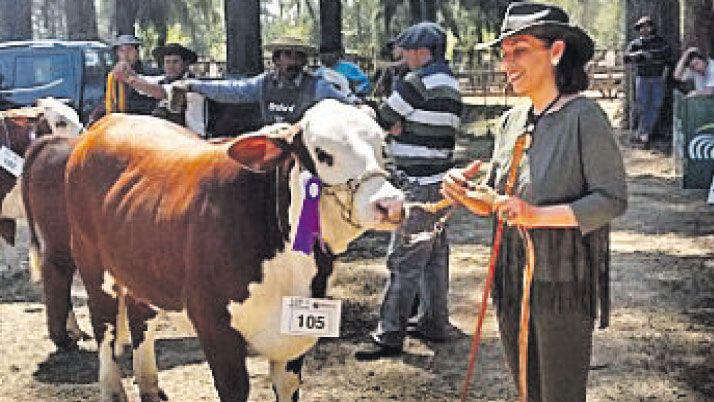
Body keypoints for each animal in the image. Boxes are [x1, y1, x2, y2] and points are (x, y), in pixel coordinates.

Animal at [64, 98, 404, 402]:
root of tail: (109, 121)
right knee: (104, 327)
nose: (390, 204)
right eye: (323, 154)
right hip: (92, 265)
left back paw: (150, 387)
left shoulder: (292, 334)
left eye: (382, 148)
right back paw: (112, 390)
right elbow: (234, 388)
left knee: (140, 317)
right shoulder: (214, 324)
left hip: (141, 268)